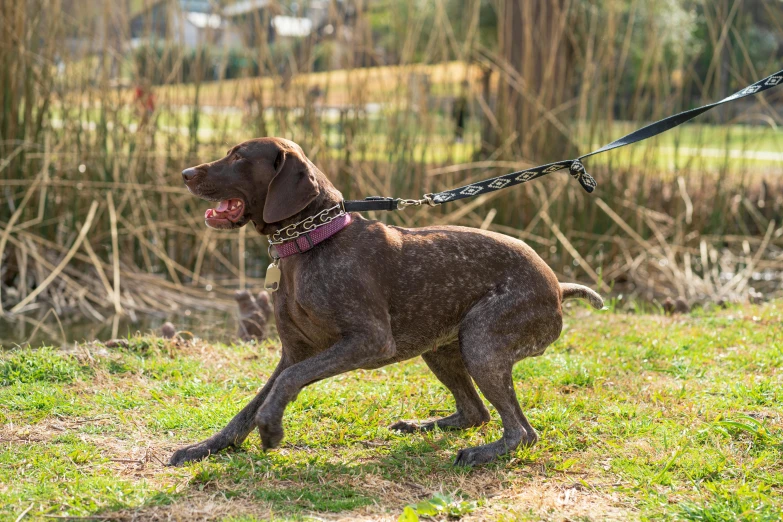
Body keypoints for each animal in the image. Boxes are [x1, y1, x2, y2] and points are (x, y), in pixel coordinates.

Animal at [173, 136, 600, 466]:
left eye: (239, 156)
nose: (185, 173)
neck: (311, 240)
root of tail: (557, 286)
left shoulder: (369, 341)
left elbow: (284, 386)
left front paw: (271, 427)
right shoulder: (294, 352)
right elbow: (251, 405)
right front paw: (207, 447)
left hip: (481, 343)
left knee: (522, 432)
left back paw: (482, 454)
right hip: (442, 349)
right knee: (476, 412)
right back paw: (422, 425)